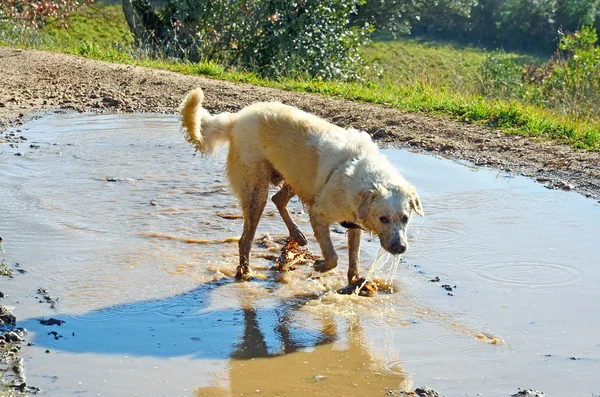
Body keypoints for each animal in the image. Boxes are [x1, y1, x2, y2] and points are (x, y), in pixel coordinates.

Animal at [178, 87, 422, 284]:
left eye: (405, 218)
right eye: (383, 219)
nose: (400, 248)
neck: (357, 168)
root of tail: (237, 119)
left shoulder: (353, 223)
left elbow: (354, 256)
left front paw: (355, 280)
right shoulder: (319, 214)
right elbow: (333, 257)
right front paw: (320, 266)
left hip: (293, 179)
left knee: (278, 200)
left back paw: (296, 235)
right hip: (257, 191)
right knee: (245, 239)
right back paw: (245, 272)